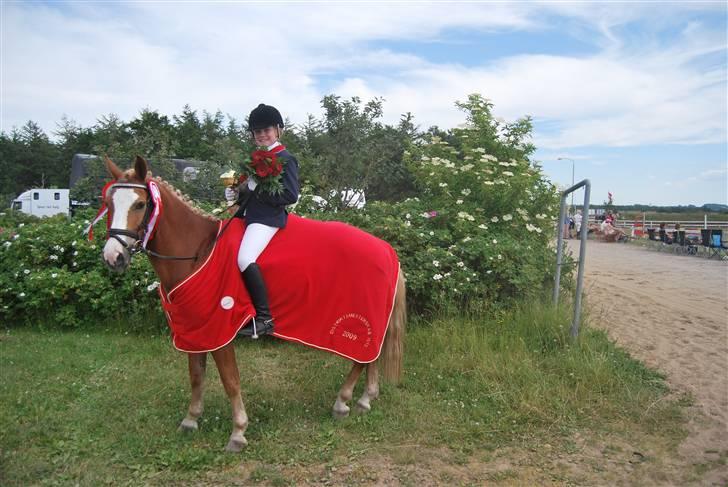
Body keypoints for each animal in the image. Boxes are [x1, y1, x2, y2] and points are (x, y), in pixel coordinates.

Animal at [100, 156, 406, 452]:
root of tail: (386, 249)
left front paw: (237, 432)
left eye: (140, 204)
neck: (198, 250)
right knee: (371, 356)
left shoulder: (219, 330)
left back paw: (343, 402)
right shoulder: (195, 328)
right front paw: (190, 420)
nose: (113, 257)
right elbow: (196, 376)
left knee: (360, 358)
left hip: (357, 322)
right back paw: (365, 399)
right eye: (109, 204)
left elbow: (230, 381)